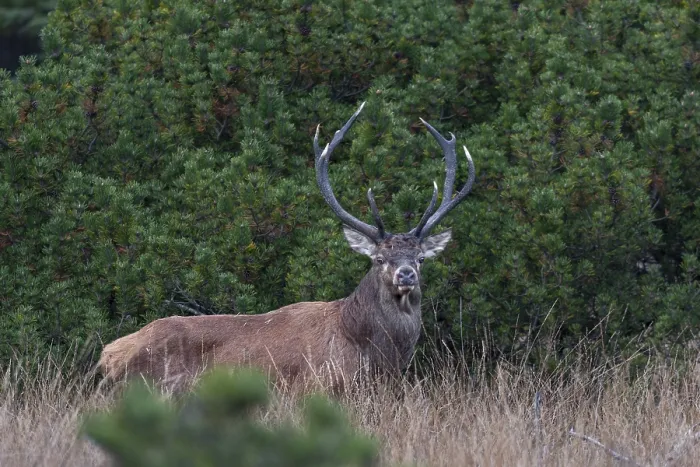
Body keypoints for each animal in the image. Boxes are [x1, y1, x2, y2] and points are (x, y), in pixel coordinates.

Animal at [98, 103, 475, 391]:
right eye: (379, 258)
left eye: (421, 258)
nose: (406, 274)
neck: (371, 353)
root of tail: (108, 354)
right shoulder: (316, 387)